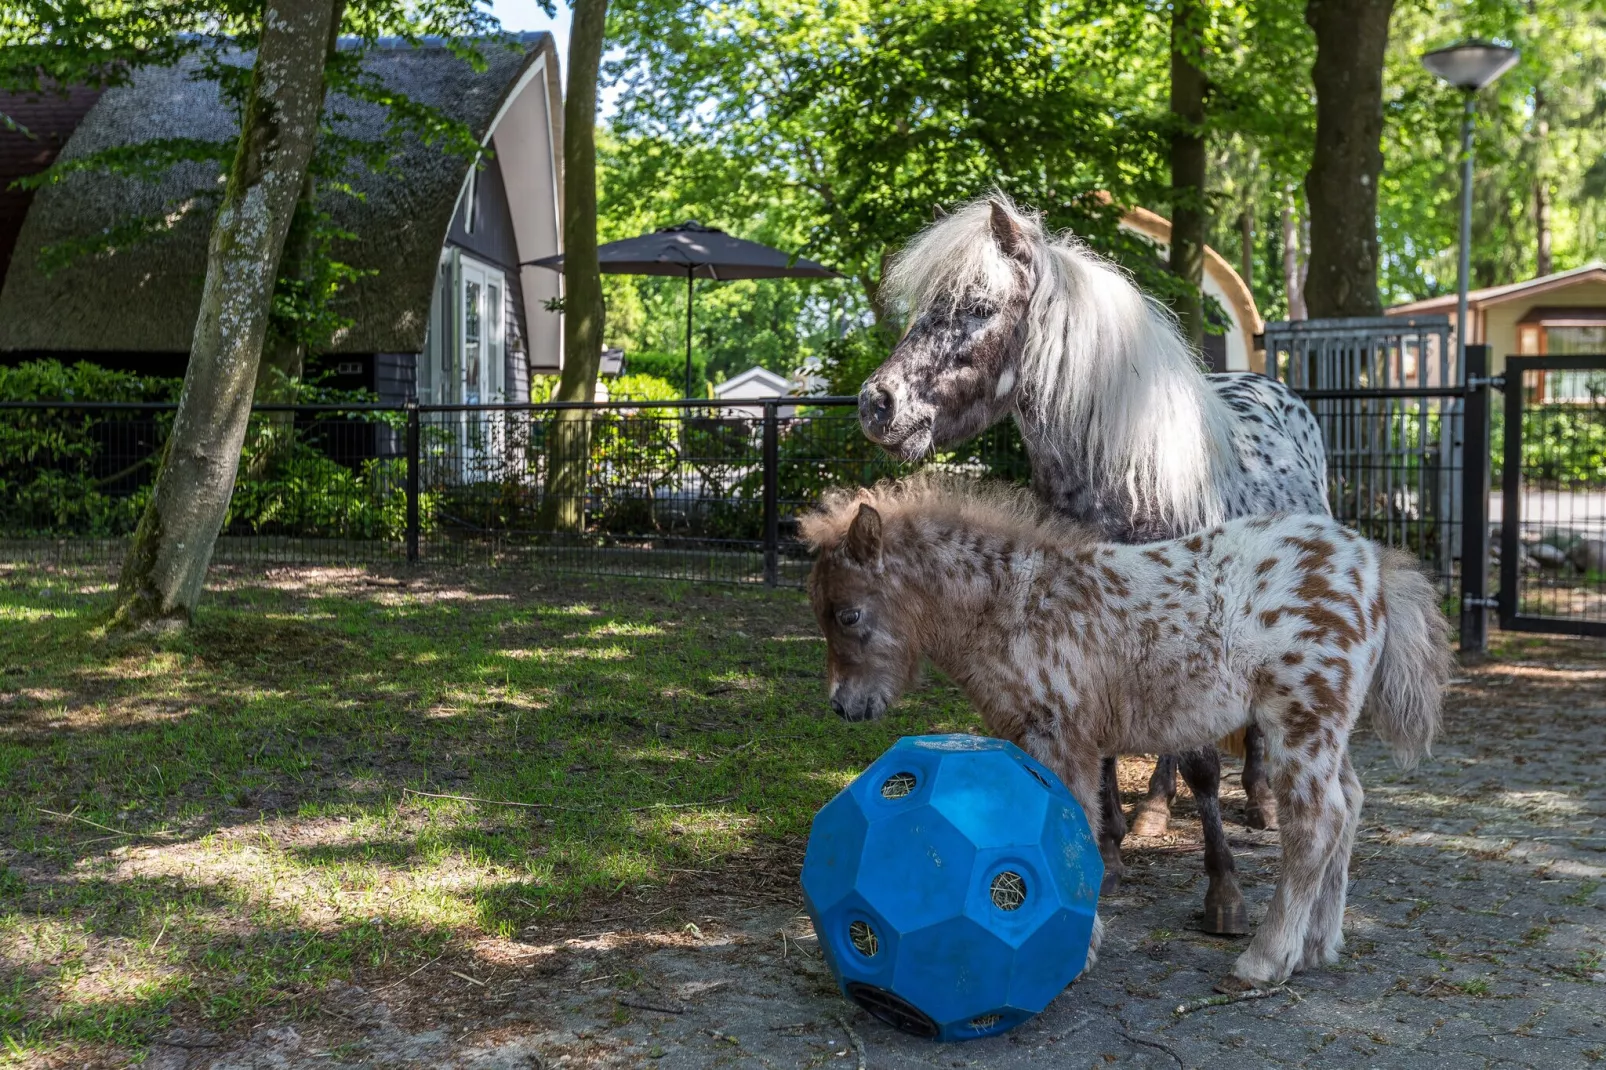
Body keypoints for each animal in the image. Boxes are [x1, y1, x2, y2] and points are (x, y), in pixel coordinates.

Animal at [854, 196, 1329, 931]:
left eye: (978, 307)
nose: (877, 404)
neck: (1128, 482)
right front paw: (1104, 844)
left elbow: (1203, 763)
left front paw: (1223, 891)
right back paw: (1154, 811)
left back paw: (1260, 800)